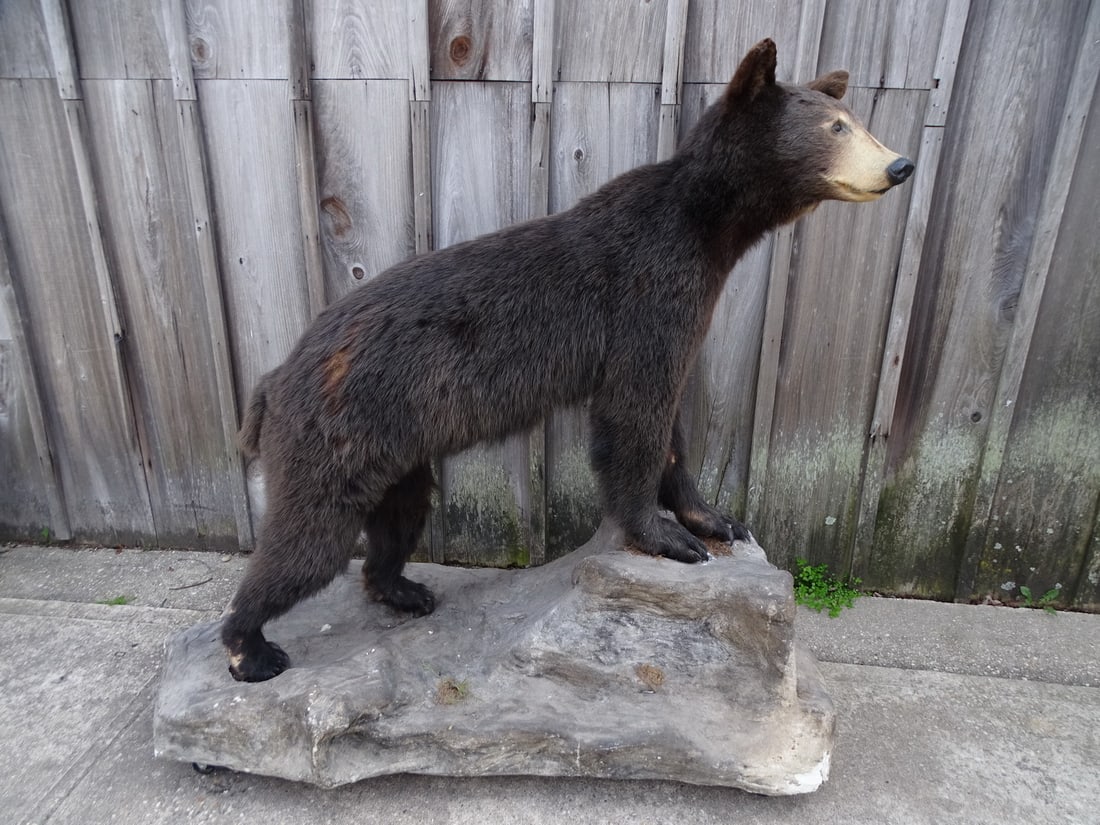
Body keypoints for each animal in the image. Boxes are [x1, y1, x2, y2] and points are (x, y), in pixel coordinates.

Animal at [222, 38, 914, 682]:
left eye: (854, 118)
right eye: (837, 127)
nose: (901, 163)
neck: (705, 226)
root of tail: (273, 380)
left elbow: (671, 424)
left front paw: (718, 519)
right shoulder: (648, 295)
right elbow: (634, 413)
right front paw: (668, 537)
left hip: (391, 445)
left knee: (399, 513)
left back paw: (404, 589)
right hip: (333, 436)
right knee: (308, 541)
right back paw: (249, 646)